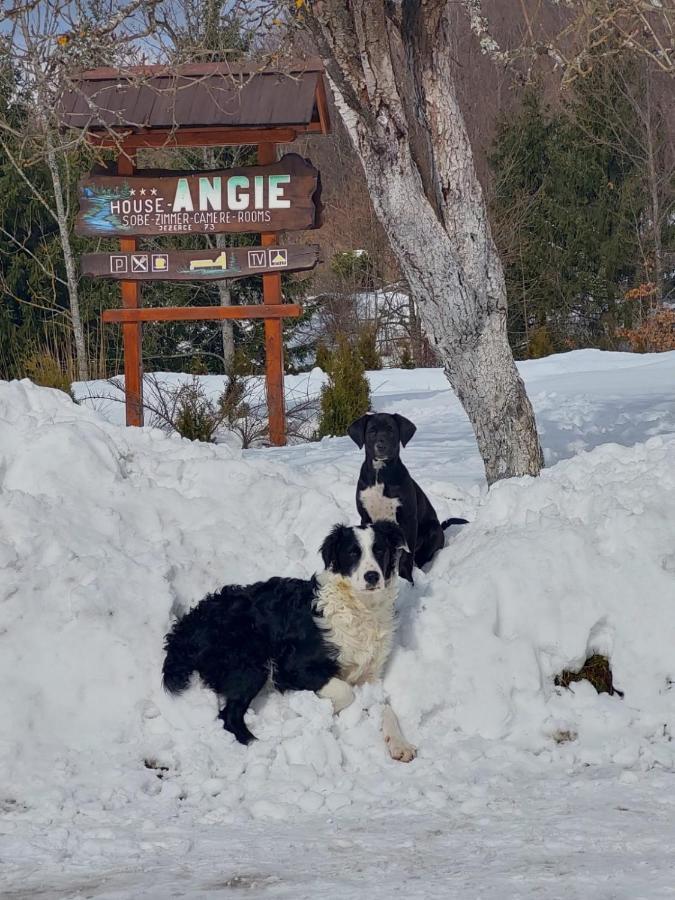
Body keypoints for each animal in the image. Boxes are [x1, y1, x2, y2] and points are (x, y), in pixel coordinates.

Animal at [164, 524, 418, 764]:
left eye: (380, 550)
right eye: (352, 553)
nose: (372, 576)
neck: (359, 608)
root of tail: (187, 626)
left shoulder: (369, 677)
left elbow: (386, 708)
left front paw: (399, 743)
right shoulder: (291, 669)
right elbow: (345, 692)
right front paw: (321, 711)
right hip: (250, 660)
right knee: (229, 716)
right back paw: (260, 744)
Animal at [348, 414, 464, 584]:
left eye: (391, 430)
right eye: (372, 431)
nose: (381, 446)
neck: (380, 475)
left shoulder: (408, 520)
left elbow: (407, 555)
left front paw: (407, 580)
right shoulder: (366, 517)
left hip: (432, 530)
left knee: (420, 557)